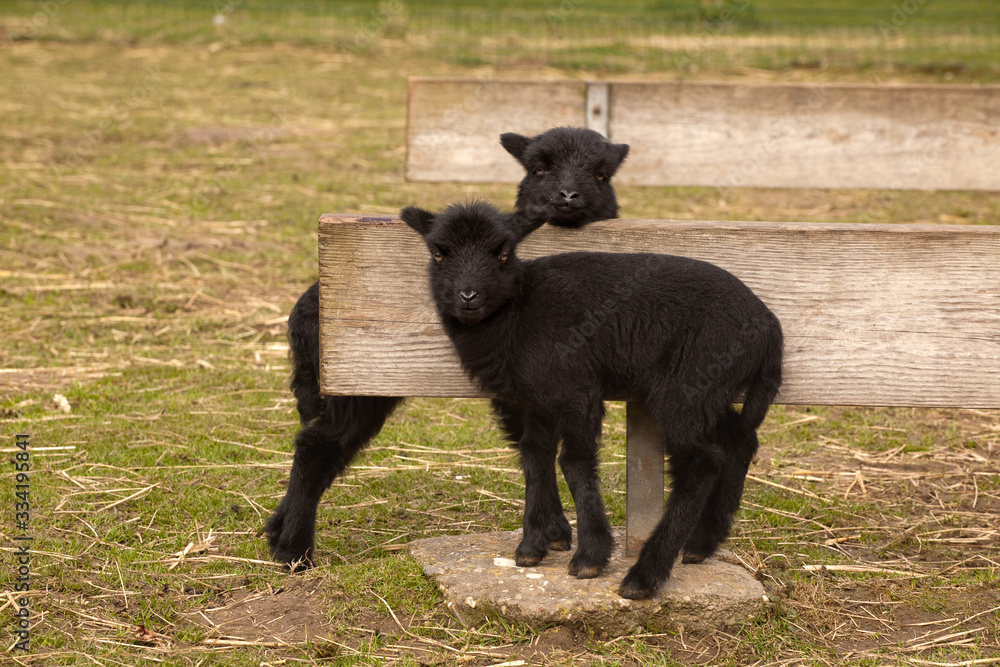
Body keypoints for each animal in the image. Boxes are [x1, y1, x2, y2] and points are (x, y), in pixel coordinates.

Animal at [266, 128, 624, 568]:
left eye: (601, 175)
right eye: (538, 169)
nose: (568, 195)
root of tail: (302, 312)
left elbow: (538, 446)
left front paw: (550, 532)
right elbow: (534, 449)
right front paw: (549, 532)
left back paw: (278, 530)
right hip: (356, 381)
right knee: (315, 446)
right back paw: (293, 550)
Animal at [402, 200, 784, 600]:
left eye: (503, 253)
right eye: (438, 253)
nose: (468, 296)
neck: (519, 311)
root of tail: (770, 328)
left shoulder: (576, 389)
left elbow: (572, 462)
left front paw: (590, 557)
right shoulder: (535, 400)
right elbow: (534, 457)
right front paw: (532, 546)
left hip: (688, 384)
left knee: (702, 461)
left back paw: (644, 576)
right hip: (710, 390)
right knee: (739, 441)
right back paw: (700, 544)